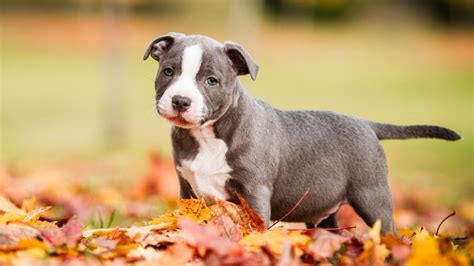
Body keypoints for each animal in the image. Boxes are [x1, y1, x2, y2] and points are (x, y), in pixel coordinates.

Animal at [143, 32, 462, 234]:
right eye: (168, 71)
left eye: (211, 80)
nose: (180, 101)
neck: (208, 135)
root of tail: (366, 124)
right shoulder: (187, 190)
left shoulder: (255, 193)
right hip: (327, 212)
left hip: (373, 195)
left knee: (388, 232)